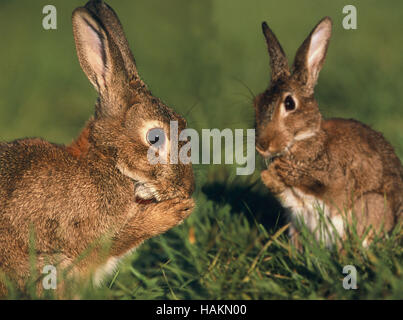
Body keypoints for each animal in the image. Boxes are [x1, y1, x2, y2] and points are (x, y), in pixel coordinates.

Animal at [256, 16, 403, 248]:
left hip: (370, 205)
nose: (262, 146)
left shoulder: (333, 180)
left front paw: (277, 169)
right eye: (258, 101)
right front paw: (269, 174)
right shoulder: (292, 205)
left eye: (289, 103)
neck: (304, 139)